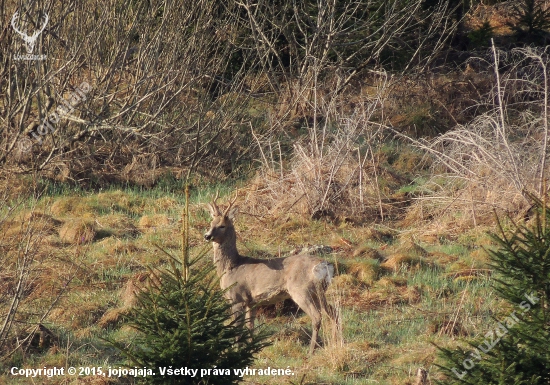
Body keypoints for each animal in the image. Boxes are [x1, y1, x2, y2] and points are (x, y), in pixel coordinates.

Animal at [205, 191, 338, 354]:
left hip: (301, 290)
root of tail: (324, 265)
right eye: (211, 223)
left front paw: (236, 350)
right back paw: (335, 343)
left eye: (222, 226)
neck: (230, 267)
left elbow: (238, 328)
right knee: (333, 312)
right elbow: (250, 326)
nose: (207, 236)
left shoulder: (238, 297)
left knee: (317, 316)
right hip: (318, 292)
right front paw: (252, 349)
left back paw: (311, 350)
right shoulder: (252, 302)